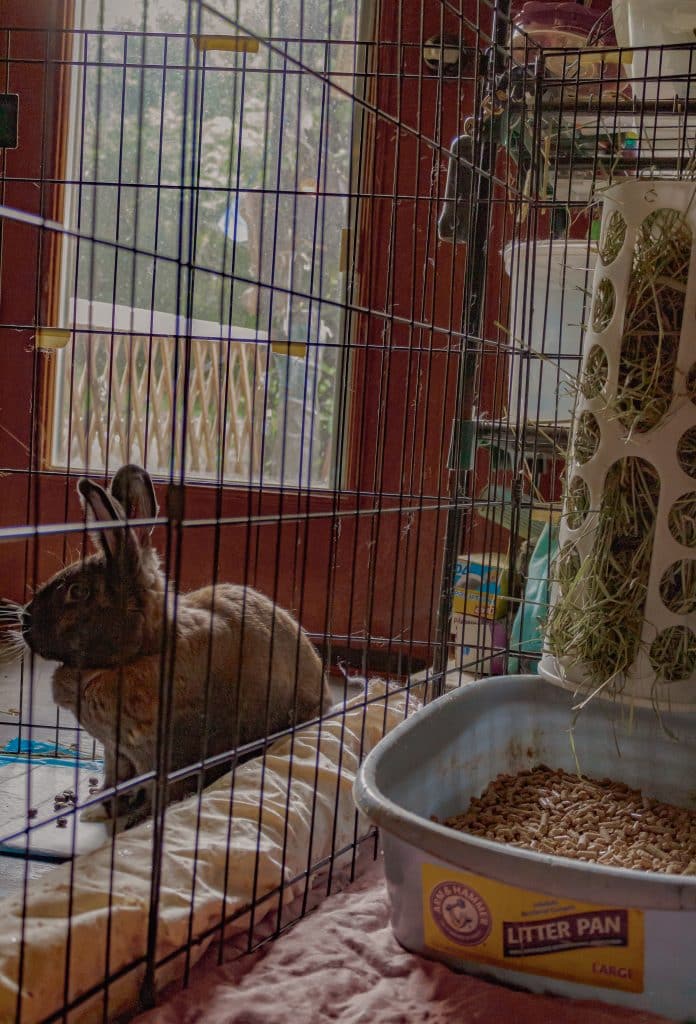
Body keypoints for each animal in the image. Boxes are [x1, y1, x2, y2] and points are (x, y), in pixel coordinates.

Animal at [19, 464, 332, 824]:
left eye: (78, 591)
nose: (24, 621)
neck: (142, 654)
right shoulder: (117, 754)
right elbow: (115, 782)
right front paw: (102, 808)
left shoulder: (168, 761)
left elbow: (163, 795)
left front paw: (135, 822)